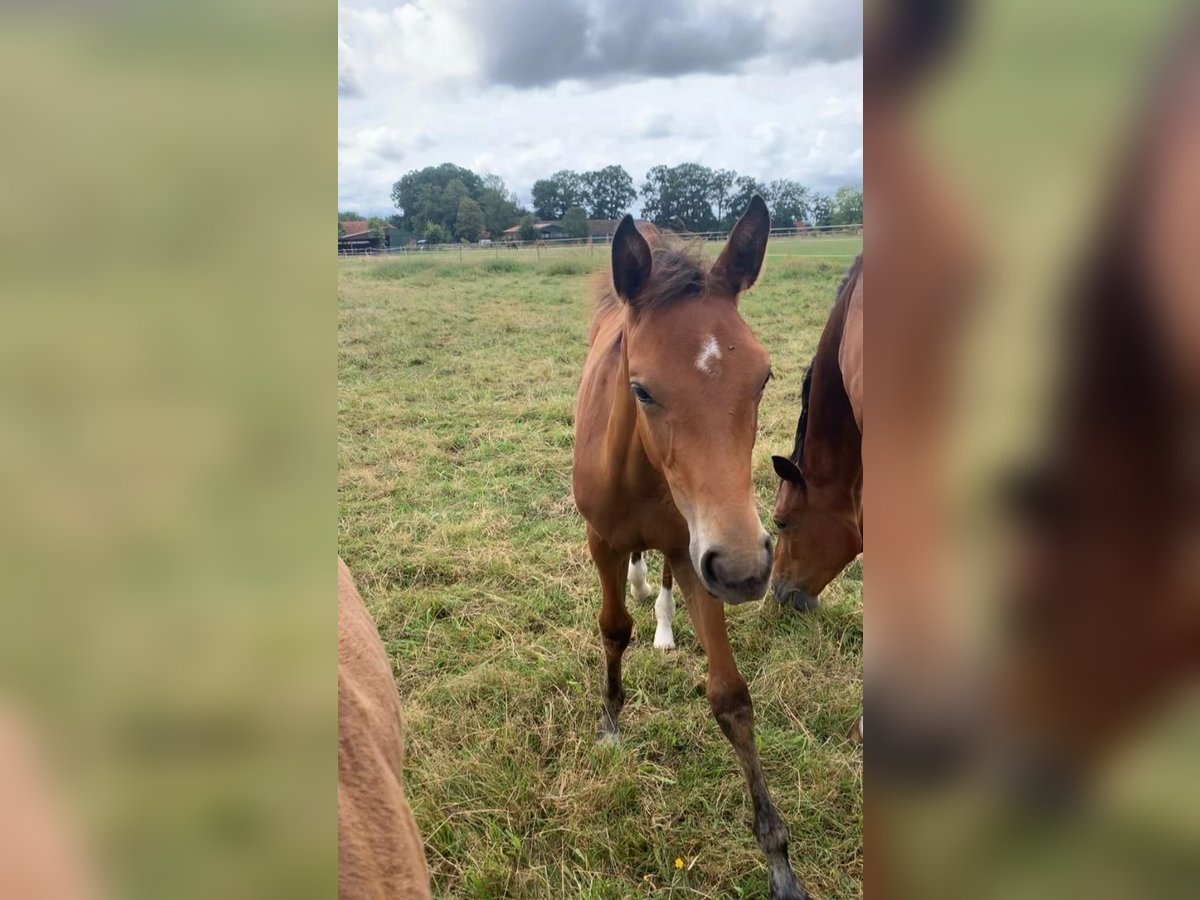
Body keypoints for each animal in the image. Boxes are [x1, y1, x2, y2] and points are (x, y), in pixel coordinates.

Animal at [571, 199, 806, 900]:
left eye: (764, 378)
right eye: (642, 389)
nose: (747, 569)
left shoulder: (699, 552)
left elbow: (731, 697)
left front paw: (779, 862)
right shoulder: (602, 541)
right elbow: (612, 628)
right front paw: (611, 723)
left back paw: (667, 627)